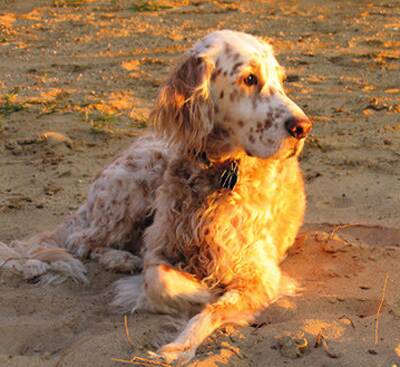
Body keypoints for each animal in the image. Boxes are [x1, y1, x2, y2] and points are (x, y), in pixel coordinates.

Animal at [0, 30, 312, 364]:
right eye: (249, 78)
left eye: (281, 80)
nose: (303, 127)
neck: (215, 175)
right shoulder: (160, 248)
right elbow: (157, 279)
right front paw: (201, 293)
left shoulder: (258, 272)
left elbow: (215, 307)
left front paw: (182, 343)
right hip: (133, 185)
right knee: (81, 240)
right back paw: (120, 258)